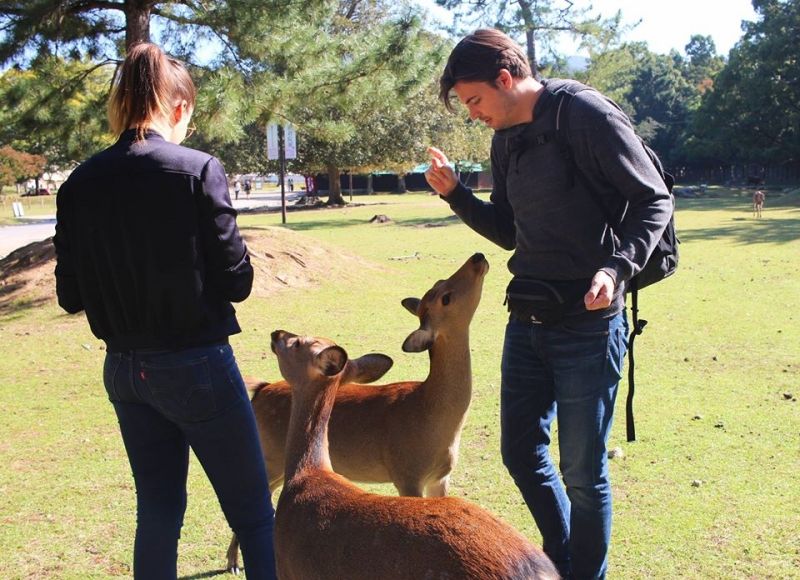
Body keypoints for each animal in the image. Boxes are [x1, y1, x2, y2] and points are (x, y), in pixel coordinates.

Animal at [223, 253, 488, 572]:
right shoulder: (406, 473)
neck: (432, 418)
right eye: (444, 296)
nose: (478, 258)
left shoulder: (440, 477)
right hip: (270, 455)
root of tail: (261, 390)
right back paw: (232, 562)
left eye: (440, 285)